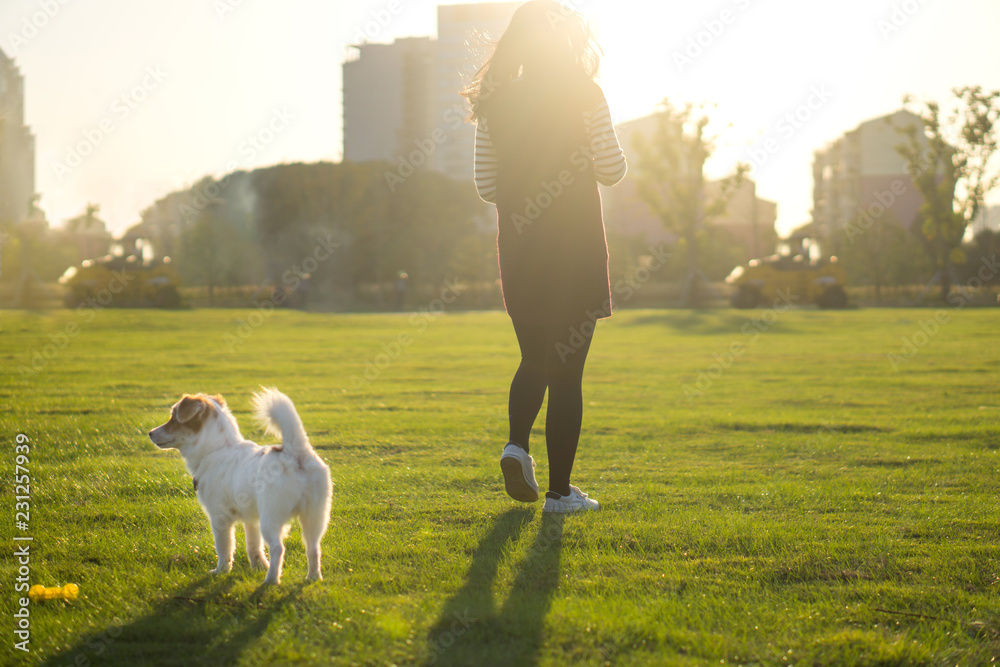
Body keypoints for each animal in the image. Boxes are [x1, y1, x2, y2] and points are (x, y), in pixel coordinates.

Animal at [148, 386, 330, 584]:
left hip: (271, 518)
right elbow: (254, 547)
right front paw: (258, 567)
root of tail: (295, 453)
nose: (150, 433)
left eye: (173, 418)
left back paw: (271, 580)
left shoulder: (219, 518)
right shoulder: (251, 520)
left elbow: (224, 548)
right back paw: (313, 578)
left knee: (278, 548)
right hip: (314, 517)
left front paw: (221, 571)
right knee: (314, 549)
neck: (218, 449)